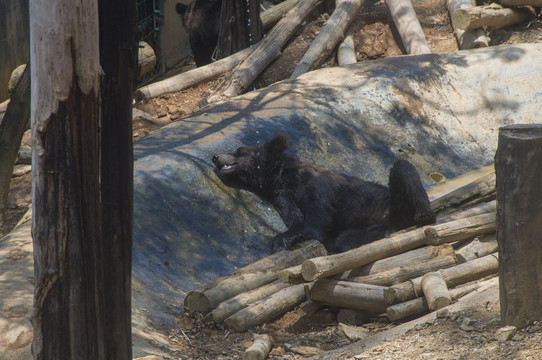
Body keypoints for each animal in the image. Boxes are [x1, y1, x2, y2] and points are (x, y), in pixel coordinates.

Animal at [212, 134, 438, 255]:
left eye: (240, 149)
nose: (215, 156)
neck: (283, 178)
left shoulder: (314, 187)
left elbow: (315, 225)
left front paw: (281, 242)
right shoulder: (281, 196)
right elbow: (295, 220)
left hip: (394, 202)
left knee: (403, 167)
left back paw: (424, 214)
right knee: (347, 238)